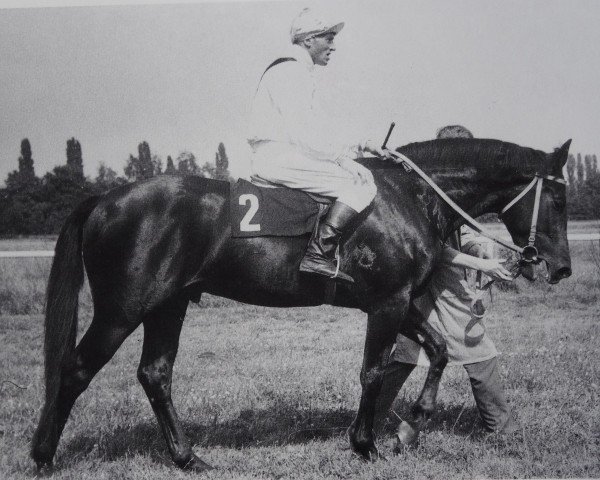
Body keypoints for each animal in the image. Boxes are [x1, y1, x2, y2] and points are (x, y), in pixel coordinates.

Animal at [31, 137, 572, 470]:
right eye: (559, 200)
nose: (560, 267)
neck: (406, 196)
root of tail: (105, 200)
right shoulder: (388, 304)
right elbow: (374, 372)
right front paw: (366, 444)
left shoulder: (401, 303)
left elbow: (438, 350)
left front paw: (412, 425)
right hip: (121, 311)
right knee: (75, 371)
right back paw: (42, 456)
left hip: (168, 306)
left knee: (155, 374)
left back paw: (188, 458)